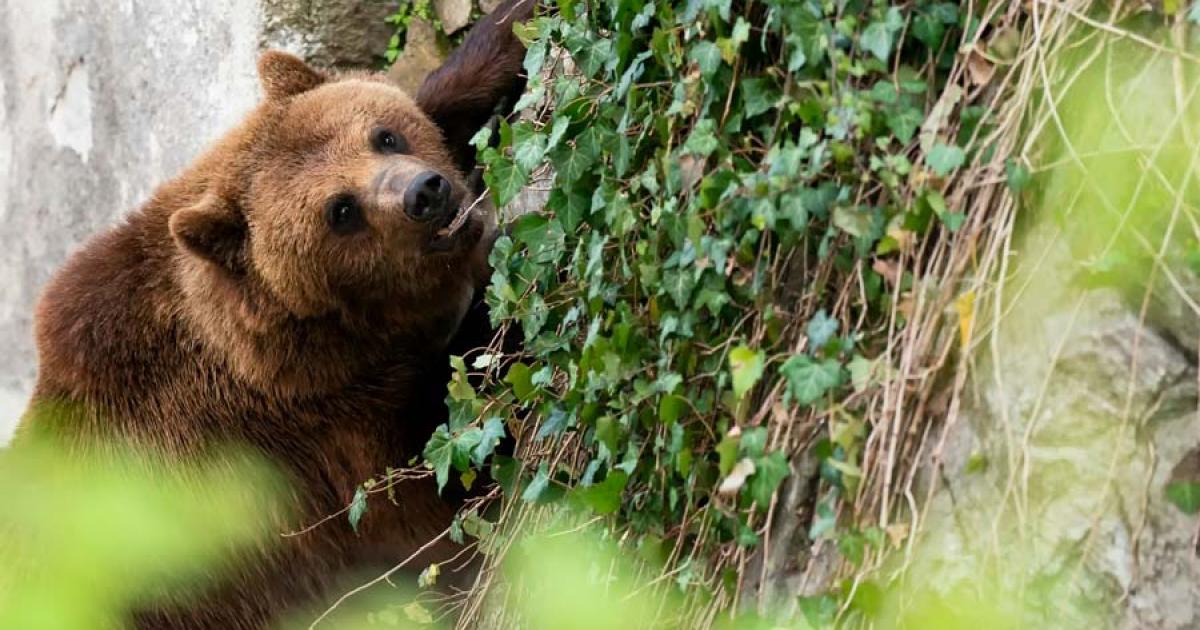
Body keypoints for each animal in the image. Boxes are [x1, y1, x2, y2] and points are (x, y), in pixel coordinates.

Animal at [14, 0, 535, 627]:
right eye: (341, 211)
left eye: (384, 135)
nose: (425, 193)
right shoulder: (314, 448)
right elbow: (442, 476)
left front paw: (505, 35)